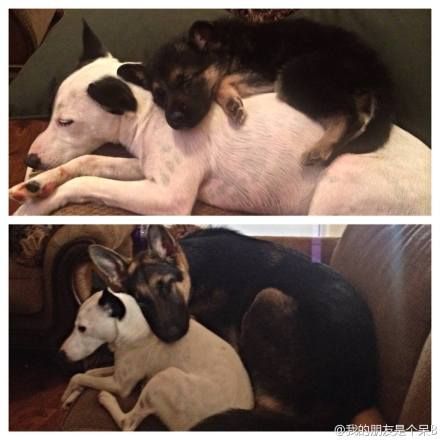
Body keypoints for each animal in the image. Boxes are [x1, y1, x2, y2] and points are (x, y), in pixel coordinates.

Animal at [60, 230, 253, 431]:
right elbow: (89, 373)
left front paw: (69, 392)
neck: (131, 323)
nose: (61, 353)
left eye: (82, 328)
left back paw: (106, 398)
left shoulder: (120, 384)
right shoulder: (118, 369)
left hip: (162, 379)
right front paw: (72, 396)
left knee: (127, 423)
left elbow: (80, 376)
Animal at [143, 17, 394, 164]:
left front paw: (232, 104)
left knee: (348, 115)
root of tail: (378, 68)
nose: (173, 121)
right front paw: (232, 103)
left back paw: (320, 148)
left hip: (293, 75)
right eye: (159, 96)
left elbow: (222, 82)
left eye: (186, 80)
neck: (226, 44)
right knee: (359, 117)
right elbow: (224, 82)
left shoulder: (268, 74)